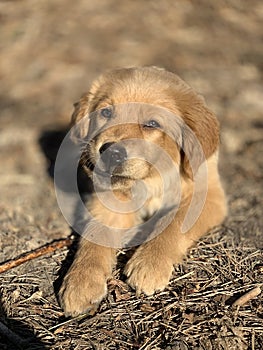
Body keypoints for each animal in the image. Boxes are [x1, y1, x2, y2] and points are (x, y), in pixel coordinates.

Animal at [58, 67, 228, 316]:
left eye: (152, 123)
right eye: (106, 112)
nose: (112, 153)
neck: (150, 179)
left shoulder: (207, 195)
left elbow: (174, 223)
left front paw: (149, 263)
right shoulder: (110, 199)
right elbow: (95, 235)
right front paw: (81, 280)